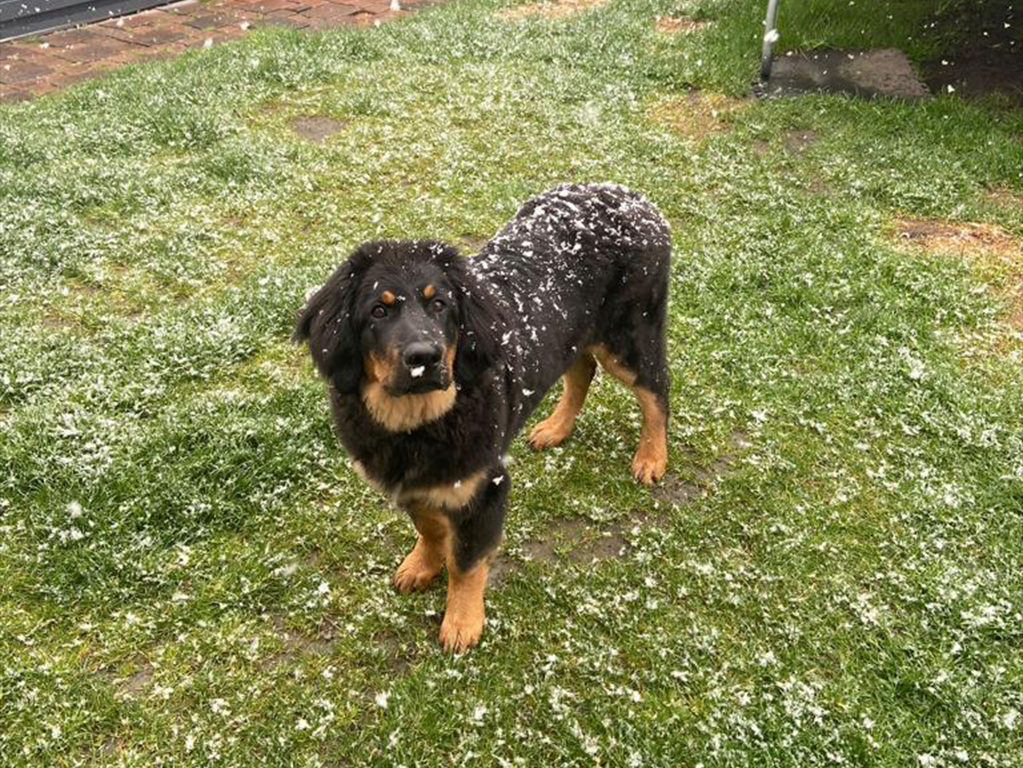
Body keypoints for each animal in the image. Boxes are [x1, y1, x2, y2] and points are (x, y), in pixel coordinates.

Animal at [295, 183, 671, 652]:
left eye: (440, 305)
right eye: (378, 312)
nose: (425, 358)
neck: (419, 423)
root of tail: (631, 196)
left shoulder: (485, 487)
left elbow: (467, 562)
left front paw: (462, 622)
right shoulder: (414, 483)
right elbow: (429, 528)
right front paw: (422, 565)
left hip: (629, 337)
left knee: (657, 391)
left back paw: (652, 457)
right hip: (575, 335)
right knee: (582, 369)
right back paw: (556, 428)